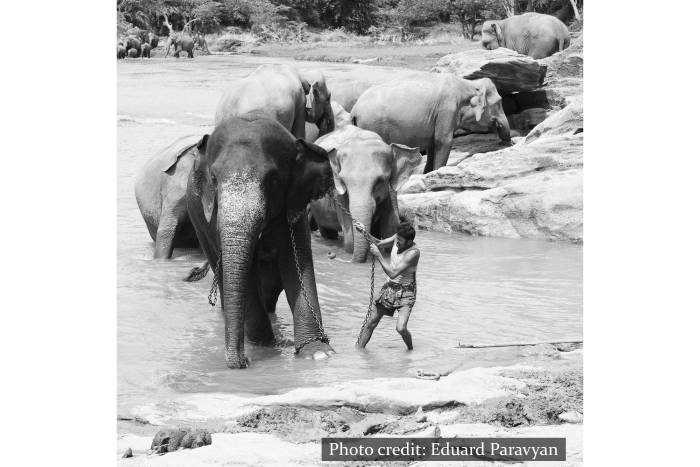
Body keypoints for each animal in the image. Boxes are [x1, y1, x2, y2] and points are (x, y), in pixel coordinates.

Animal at [185, 111, 338, 368]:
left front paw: (317, 353)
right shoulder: (210, 215)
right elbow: (242, 274)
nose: (243, 361)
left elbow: (297, 263)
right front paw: (268, 347)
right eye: (214, 179)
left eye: (273, 179)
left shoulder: (295, 204)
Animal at [310, 124, 422, 264]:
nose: (331, 255)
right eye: (344, 182)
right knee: (327, 232)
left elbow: (390, 229)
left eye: (379, 181)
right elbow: (350, 241)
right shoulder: (339, 193)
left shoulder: (391, 191)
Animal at [352, 75, 512, 174]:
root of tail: (355, 109)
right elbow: (443, 141)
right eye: (499, 103)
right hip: (373, 126)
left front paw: (427, 174)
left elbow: (432, 144)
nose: (506, 143)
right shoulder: (446, 109)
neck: (468, 83)